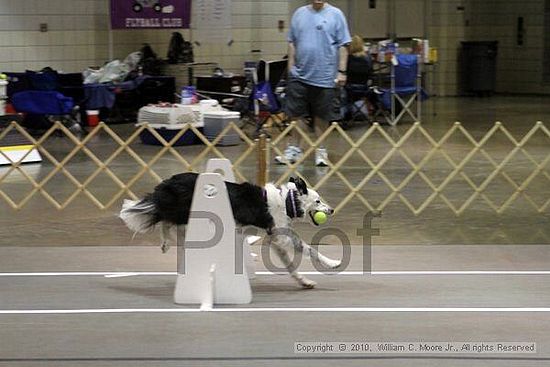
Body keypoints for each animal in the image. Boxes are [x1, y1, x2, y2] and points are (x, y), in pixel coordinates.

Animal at [121, 174, 340, 288]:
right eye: (318, 201)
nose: (331, 210)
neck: (288, 201)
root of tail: (169, 182)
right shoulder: (282, 236)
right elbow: (309, 249)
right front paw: (333, 263)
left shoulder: (276, 239)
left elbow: (293, 264)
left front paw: (304, 280)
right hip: (184, 212)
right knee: (164, 219)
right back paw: (166, 243)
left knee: (166, 221)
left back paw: (166, 244)